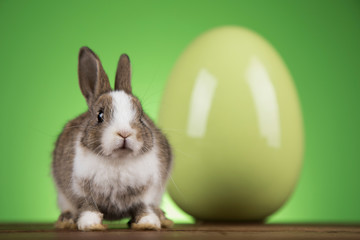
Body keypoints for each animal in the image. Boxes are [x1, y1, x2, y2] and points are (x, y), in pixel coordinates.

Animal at [51, 46, 174, 231]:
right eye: (100, 115)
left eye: (141, 117)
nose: (124, 133)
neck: (118, 160)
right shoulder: (81, 192)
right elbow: (88, 207)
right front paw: (91, 225)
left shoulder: (147, 193)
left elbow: (143, 207)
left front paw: (148, 223)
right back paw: (66, 220)